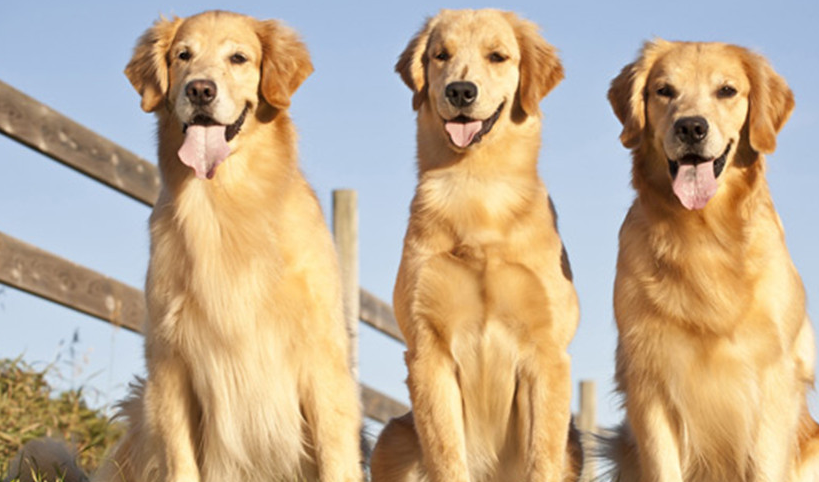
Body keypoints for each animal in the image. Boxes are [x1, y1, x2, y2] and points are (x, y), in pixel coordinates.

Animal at [91, 11, 364, 482]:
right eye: (183, 55)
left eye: (238, 58)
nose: (200, 89)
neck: (225, 203)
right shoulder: (169, 363)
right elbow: (180, 460)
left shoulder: (323, 362)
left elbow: (337, 458)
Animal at [368, 10, 588, 482]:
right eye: (441, 55)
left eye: (498, 56)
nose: (460, 90)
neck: (476, 187)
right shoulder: (427, 351)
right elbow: (447, 455)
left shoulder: (546, 354)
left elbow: (541, 456)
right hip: (392, 437)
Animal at [604, 37, 819, 482]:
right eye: (664, 90)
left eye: (727, 90)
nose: (691, 127)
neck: (703, 234)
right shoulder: (649, 381)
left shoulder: (774, 379)